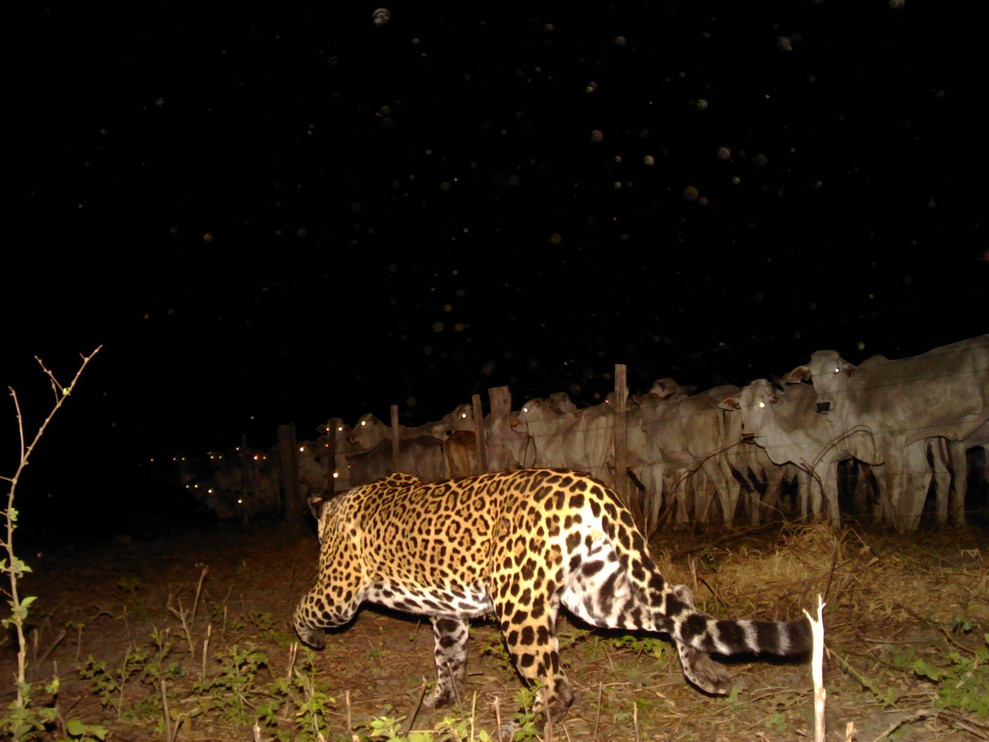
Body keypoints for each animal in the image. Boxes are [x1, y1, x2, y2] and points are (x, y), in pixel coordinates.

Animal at [293, 468, 812, 725]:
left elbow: (302, 607)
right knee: (679, 600)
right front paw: (444, 698)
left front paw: (310, 641)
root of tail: (595, 489)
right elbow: (448, 657)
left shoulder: (339, 592)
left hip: (519, 602)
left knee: (557, 683)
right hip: (597, 593)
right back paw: (706, 673)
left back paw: (526, 726)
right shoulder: (449, 616)